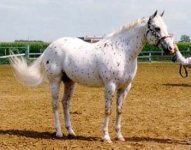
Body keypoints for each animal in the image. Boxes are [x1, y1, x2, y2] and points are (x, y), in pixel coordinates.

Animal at [9, 10, 175, 143]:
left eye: (166, 27)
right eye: (157, 28)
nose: (171, 49)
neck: (122, 52)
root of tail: (49, 47)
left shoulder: (125, 87)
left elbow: (119, 110)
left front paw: (119, 136)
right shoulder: (110, 85)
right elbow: (108, 110)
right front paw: (106, 137)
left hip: (69, 82)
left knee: (65, 103)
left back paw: (71, 132)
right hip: (55, 81)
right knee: (55, 104)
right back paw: (59, 132)